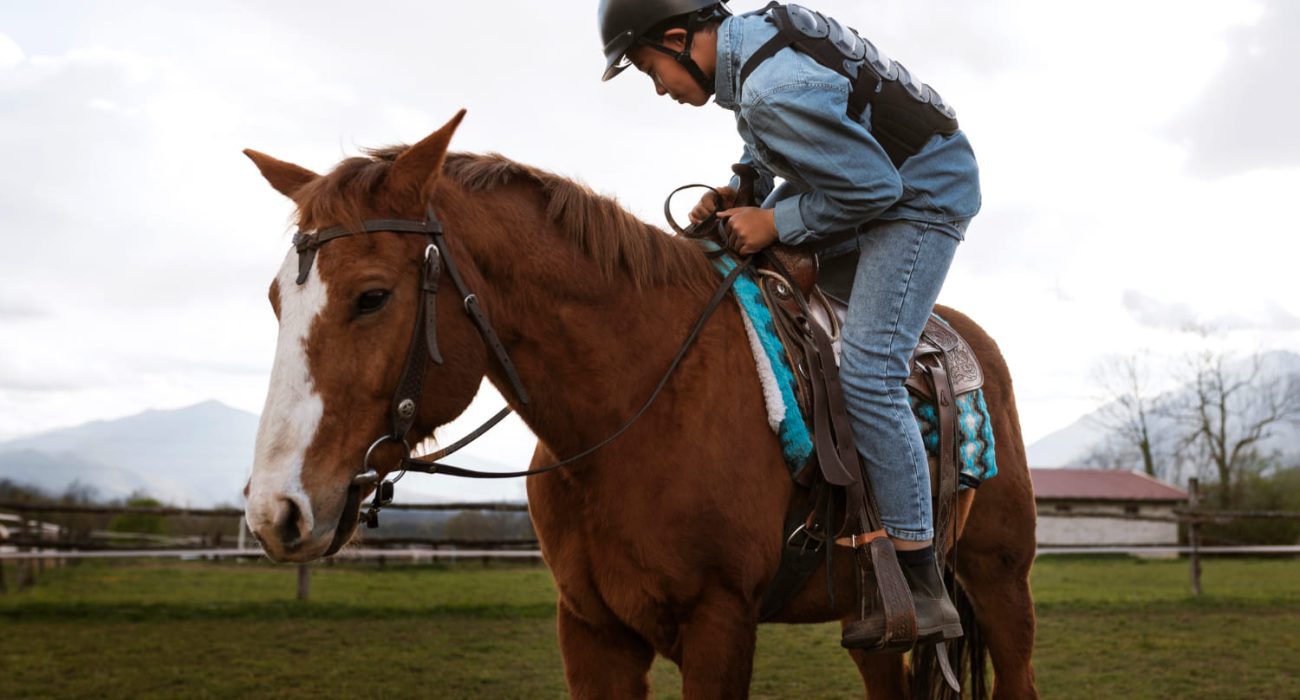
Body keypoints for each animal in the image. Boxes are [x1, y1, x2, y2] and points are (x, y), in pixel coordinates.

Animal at [242, 111, 1039, 699]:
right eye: (277, 299)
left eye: (372, 295)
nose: (276, 511)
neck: (635, 410)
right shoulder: (592, 631)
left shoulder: (719, 624)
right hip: (871, 617)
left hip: (1000, 581)